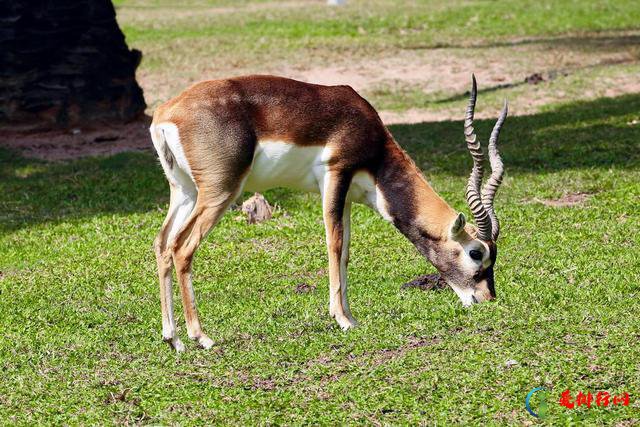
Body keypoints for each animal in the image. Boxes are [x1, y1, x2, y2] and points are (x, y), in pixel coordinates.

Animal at [150, 75, 504, 352]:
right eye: (476, 254)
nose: (487, 299)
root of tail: (166, 112)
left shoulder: (346, 196)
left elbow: (345, 251)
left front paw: (351, 316)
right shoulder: (336, 174)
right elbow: (333, 245)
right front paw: (342, 319)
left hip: (184, 191)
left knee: (162, 243)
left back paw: (173, 338)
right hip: (220, 192)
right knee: (183, 248)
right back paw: (201, 337)